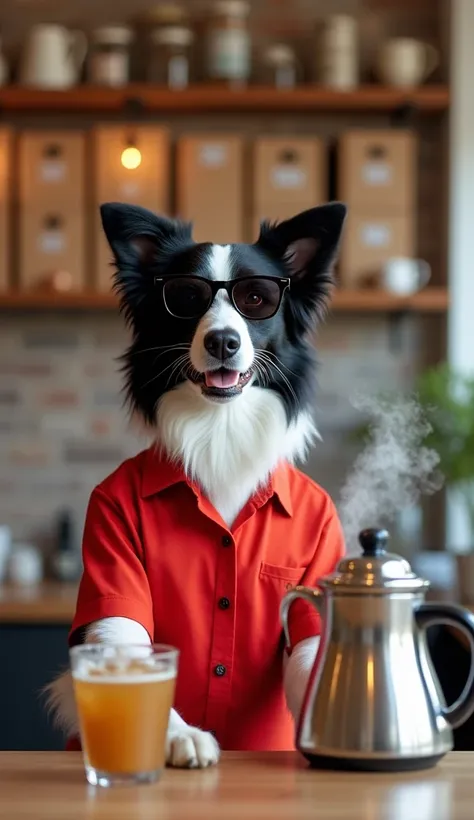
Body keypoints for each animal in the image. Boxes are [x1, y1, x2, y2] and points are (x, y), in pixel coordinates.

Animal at [47, 202, 344, 764]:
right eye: (185, 297)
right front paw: (177, 733)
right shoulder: (108, 536)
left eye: (257, 298)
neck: (219, 428)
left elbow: (313, 652)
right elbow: (125, 649)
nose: (222, 340)